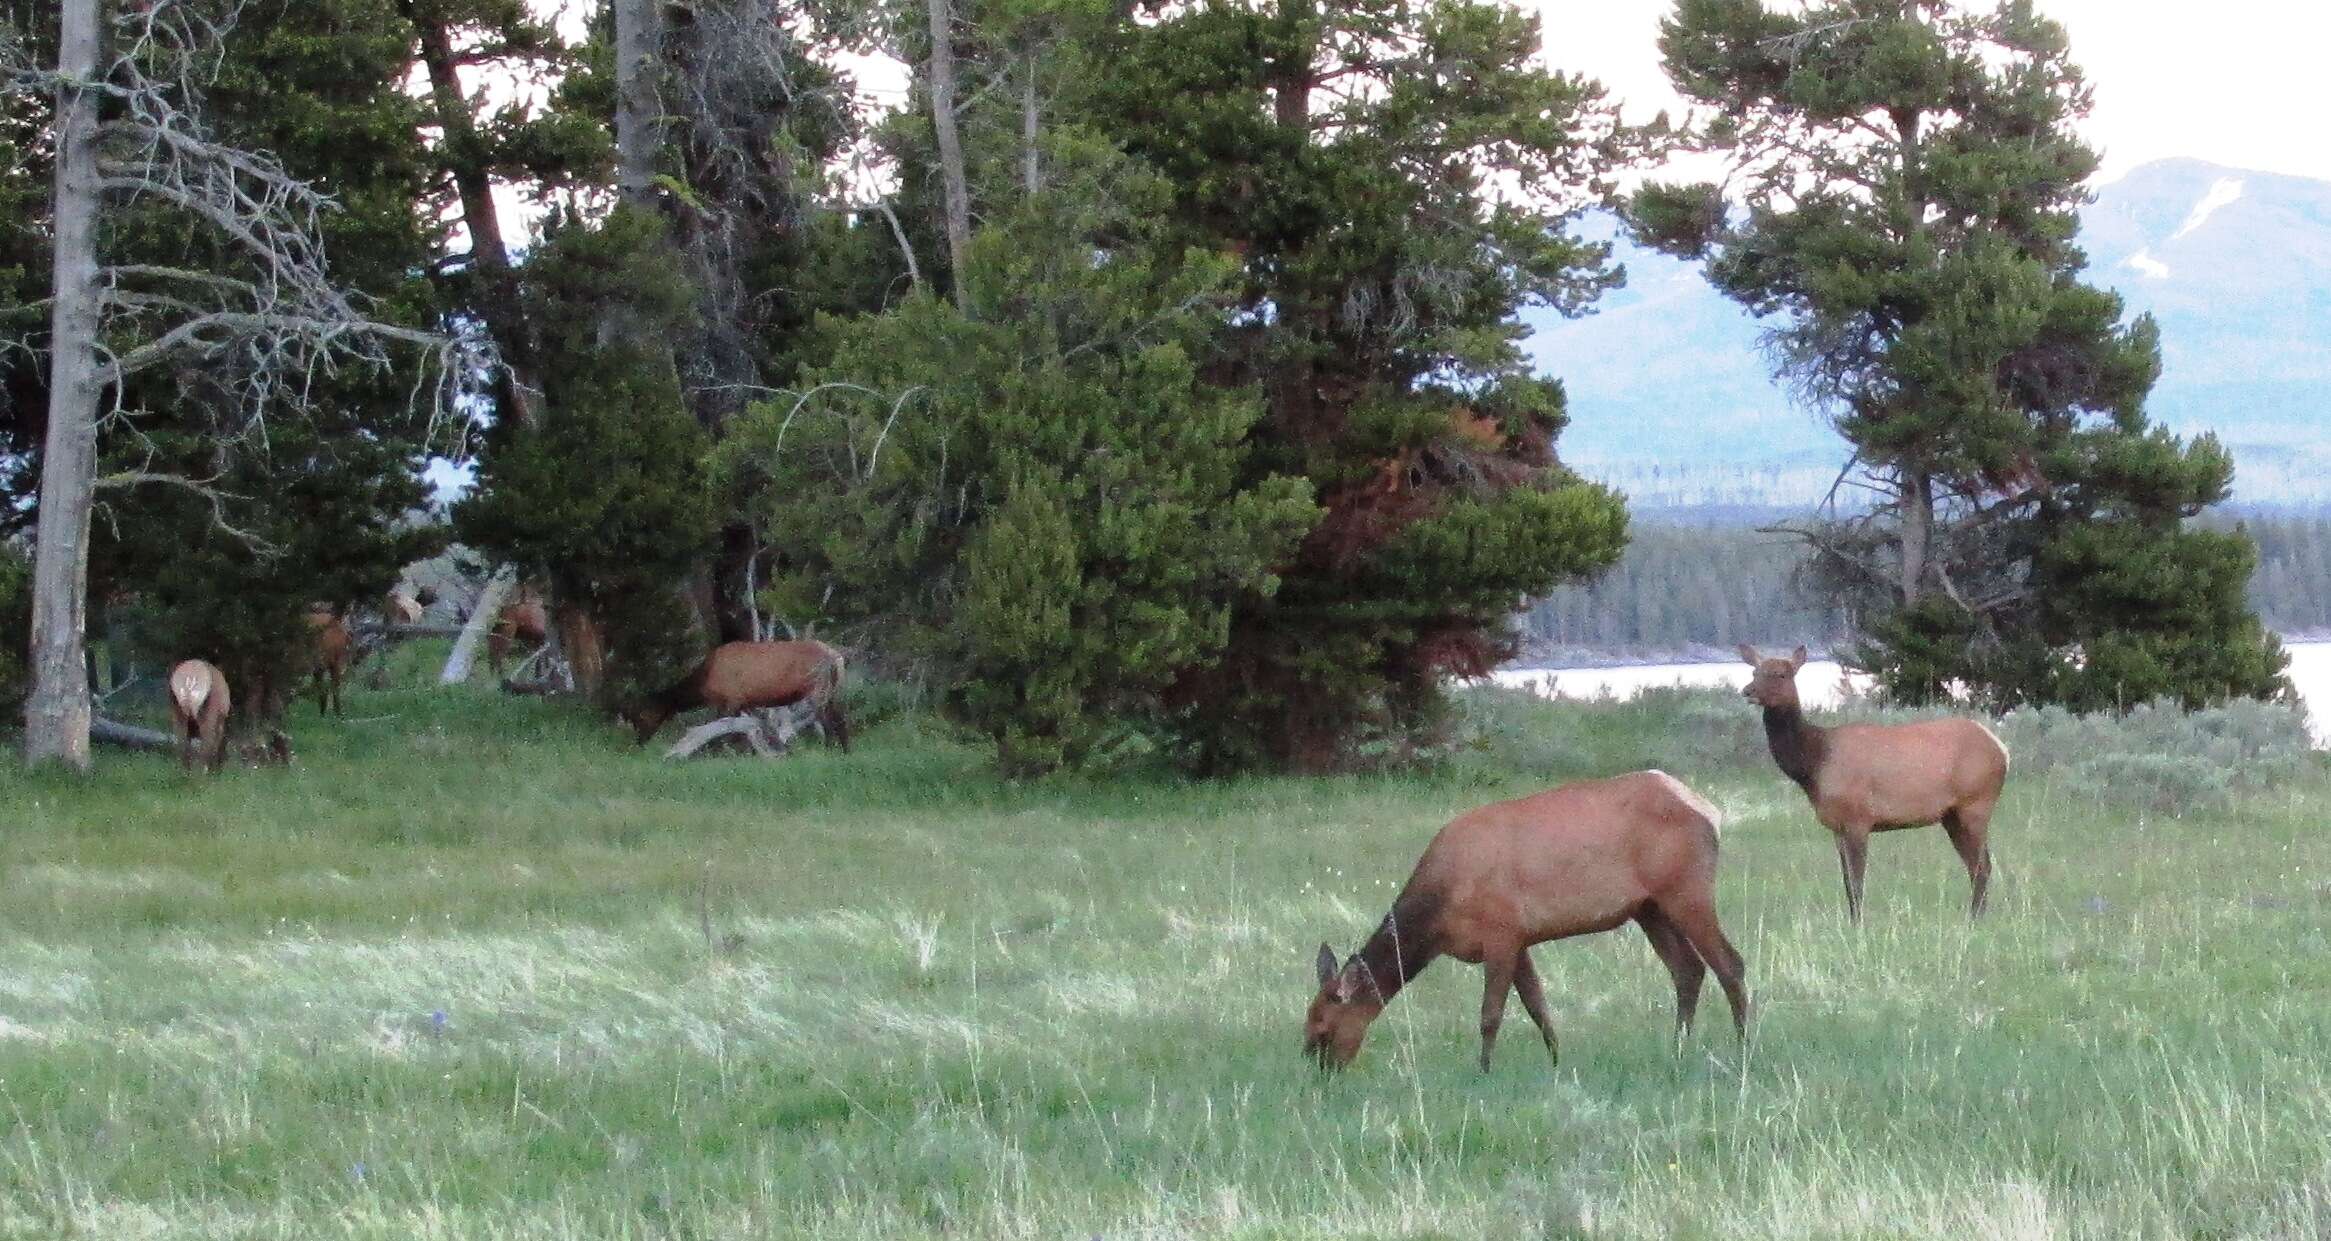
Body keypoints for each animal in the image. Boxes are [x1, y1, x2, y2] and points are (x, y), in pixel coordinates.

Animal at [624, 634, 853, 751]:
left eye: (641, 716)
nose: (638, 742)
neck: (704, 681)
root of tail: (837, 657)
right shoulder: (746, 703)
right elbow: (753, 731)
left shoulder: (730, 701)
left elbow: (721, 733)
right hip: (832, 692)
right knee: (840, 721)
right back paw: (844, 751)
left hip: (818, 689)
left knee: (828, 723)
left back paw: (829, 750)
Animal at [1296, 769, 1752, 1073]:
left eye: (1323, 1028)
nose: (1318, 1074)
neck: (1438, 919)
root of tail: (1711, 812)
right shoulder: (1520, 939)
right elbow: (1538, 1007)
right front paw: (1556, 1060)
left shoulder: (1500, 932)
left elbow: (1490, 1014)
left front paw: (1483, 1070)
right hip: (1650, 908)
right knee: (1688, 969)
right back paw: (1678, 1048)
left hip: (1686, 890)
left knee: (1729, 963)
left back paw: (1743, 1047)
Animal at [1743, 648, 2013, 919]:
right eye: (1754, 672)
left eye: (1781, 673)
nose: (1748, 691)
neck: (1813, 764)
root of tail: (2002, 749)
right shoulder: (1837, 827)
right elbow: (1846, 881)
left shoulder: (1858, 818)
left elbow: (1856, 882)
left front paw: (1858, 922)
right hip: (1952, 816)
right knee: (1976, 866)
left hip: (1976, 803)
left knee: (1983, 865)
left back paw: (1975, 918)